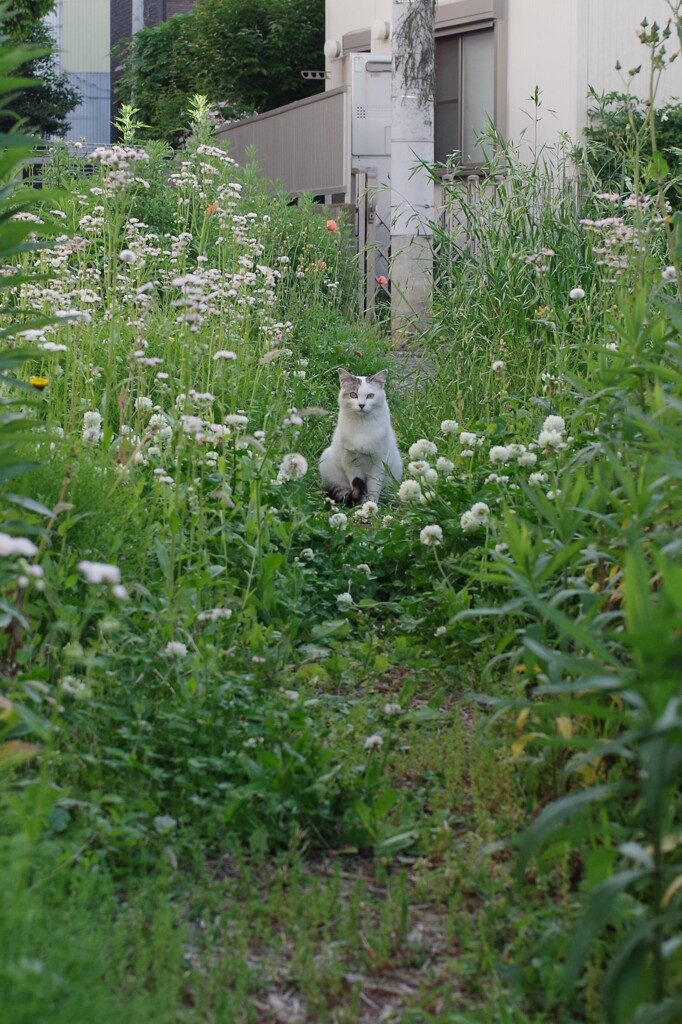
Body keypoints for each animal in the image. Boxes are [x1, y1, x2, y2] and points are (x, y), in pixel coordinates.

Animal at [317, 372, 399, 507]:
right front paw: (359, 503)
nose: (361, 405)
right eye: (353, 395)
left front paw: (371, 504)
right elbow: (356, 484)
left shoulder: (378, 463)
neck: (362, 425)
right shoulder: (351, 462)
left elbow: (373, 488)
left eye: (370, 396)